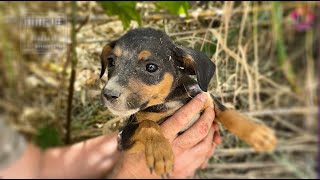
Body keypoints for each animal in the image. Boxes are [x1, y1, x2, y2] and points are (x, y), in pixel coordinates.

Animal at [99, 27, 276, 177]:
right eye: (111, 62)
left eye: (151, 67)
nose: (108, 94)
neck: (171, 100)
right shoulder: (125, 140)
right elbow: (148, 124)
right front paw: (160, 152)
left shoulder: (205, 97)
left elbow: (228, 112)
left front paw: (258, 134)